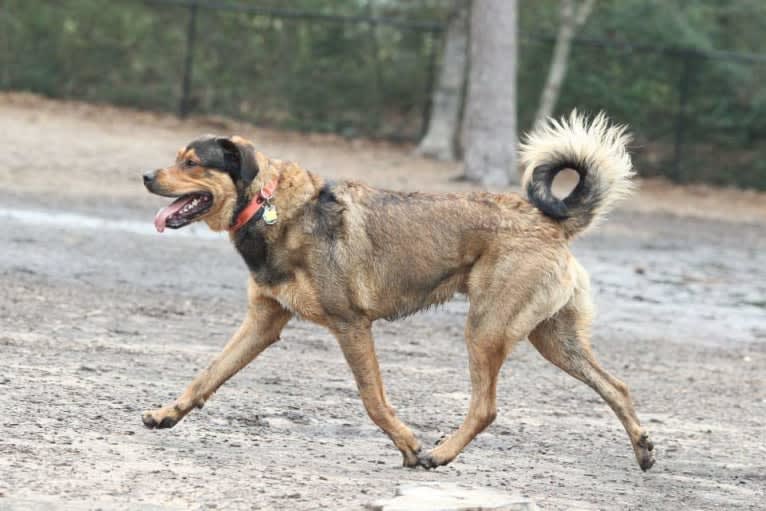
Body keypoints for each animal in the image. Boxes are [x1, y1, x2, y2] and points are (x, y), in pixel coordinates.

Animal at [141, 112, 656, 472]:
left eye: (191, 162)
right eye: (177, 158)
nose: (146, 176)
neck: (269, 206)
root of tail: (549, 222)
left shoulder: (351, 326)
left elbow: (372, 399)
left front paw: (409, 445)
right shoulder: (262, 322)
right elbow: (207, 375)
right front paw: (168, 414)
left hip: (485, 331)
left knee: (486, 408)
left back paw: (440, 455)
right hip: (553, 339)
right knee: (617, 386)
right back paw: (643, 449)